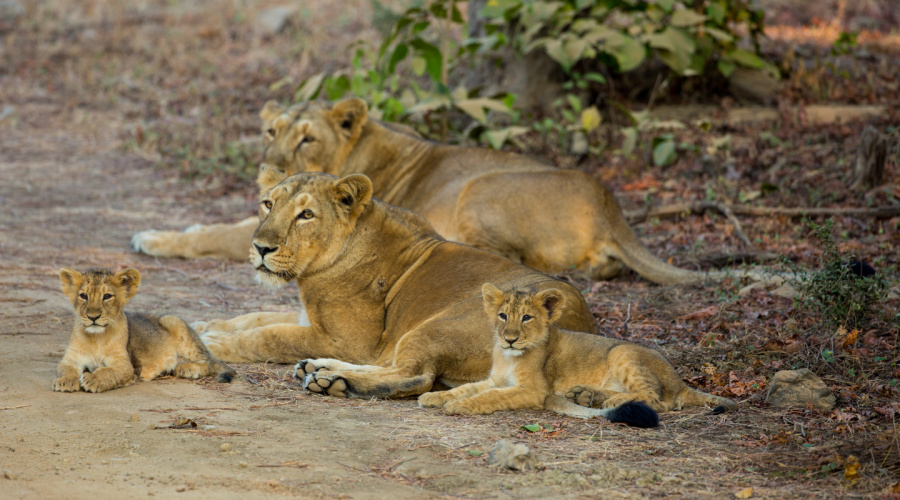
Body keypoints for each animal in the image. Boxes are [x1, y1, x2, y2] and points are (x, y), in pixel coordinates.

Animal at [135, 98, 704, 286]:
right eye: (271, 131)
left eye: (308, 138)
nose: (269, 165)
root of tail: (610, 205)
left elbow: (219, 233)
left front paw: (153, 238)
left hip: (479, 186)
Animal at [200, 169, 600, 398]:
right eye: (268, 204)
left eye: (306, 214)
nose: (260, 247)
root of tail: (583, 328)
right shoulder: (313, 321)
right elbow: (255, 317)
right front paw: (208, 325)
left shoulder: (349, 340)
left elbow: (269, 335)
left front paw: (212, 343)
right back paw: (319, 368)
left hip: (438, 326)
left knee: (416, 377)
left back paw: (332, 382)